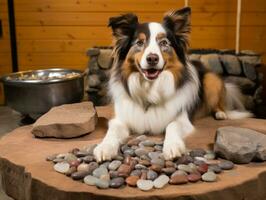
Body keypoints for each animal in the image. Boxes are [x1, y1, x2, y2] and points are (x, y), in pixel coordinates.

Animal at [92, 7, 252, 162]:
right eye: (139, 43)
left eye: (164, 43)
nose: (152, 58)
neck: (151, 89)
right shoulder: (121, 119)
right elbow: (112, 131)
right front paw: (104, 147)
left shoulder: (182, 119)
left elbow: (172, 125)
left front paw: (173, 146)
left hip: (211, 80)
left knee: (218, 103)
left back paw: (220, 113)